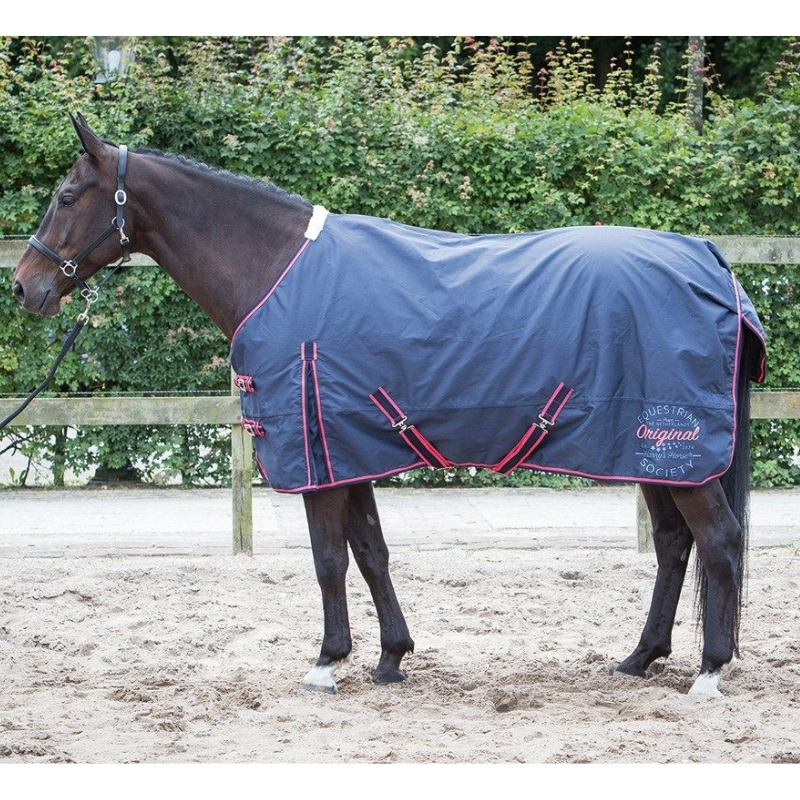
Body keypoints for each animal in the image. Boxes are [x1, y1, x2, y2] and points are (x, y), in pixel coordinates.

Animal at [11, 114, 767, 698]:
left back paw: (709, 671)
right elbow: (371, 552)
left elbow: (328, 560)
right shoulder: (349, 451)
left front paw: (326, 662)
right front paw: (390, 658)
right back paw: (640, 658)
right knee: (674, 545)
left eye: (68, 194)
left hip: (677, 450)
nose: (25, 285)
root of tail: (713, 264)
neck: (277, 270)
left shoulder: (316, 458)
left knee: (717, 541)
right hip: (653, 455)